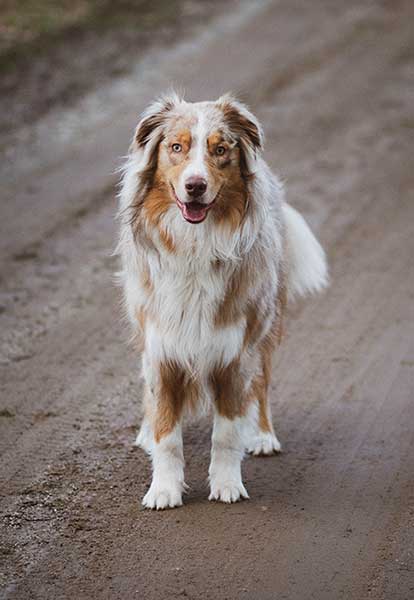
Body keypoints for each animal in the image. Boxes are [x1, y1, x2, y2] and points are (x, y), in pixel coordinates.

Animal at [115, 91, 326, 508]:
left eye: (221, 150)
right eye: (176, 147)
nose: (195, 185)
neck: (194, 246)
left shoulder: (233, 352)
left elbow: (226, 433)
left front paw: (227, 485)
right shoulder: (162, 347)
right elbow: (167, 433)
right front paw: (163, 489)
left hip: (265, 326)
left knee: (261, 385)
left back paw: (261, 435)